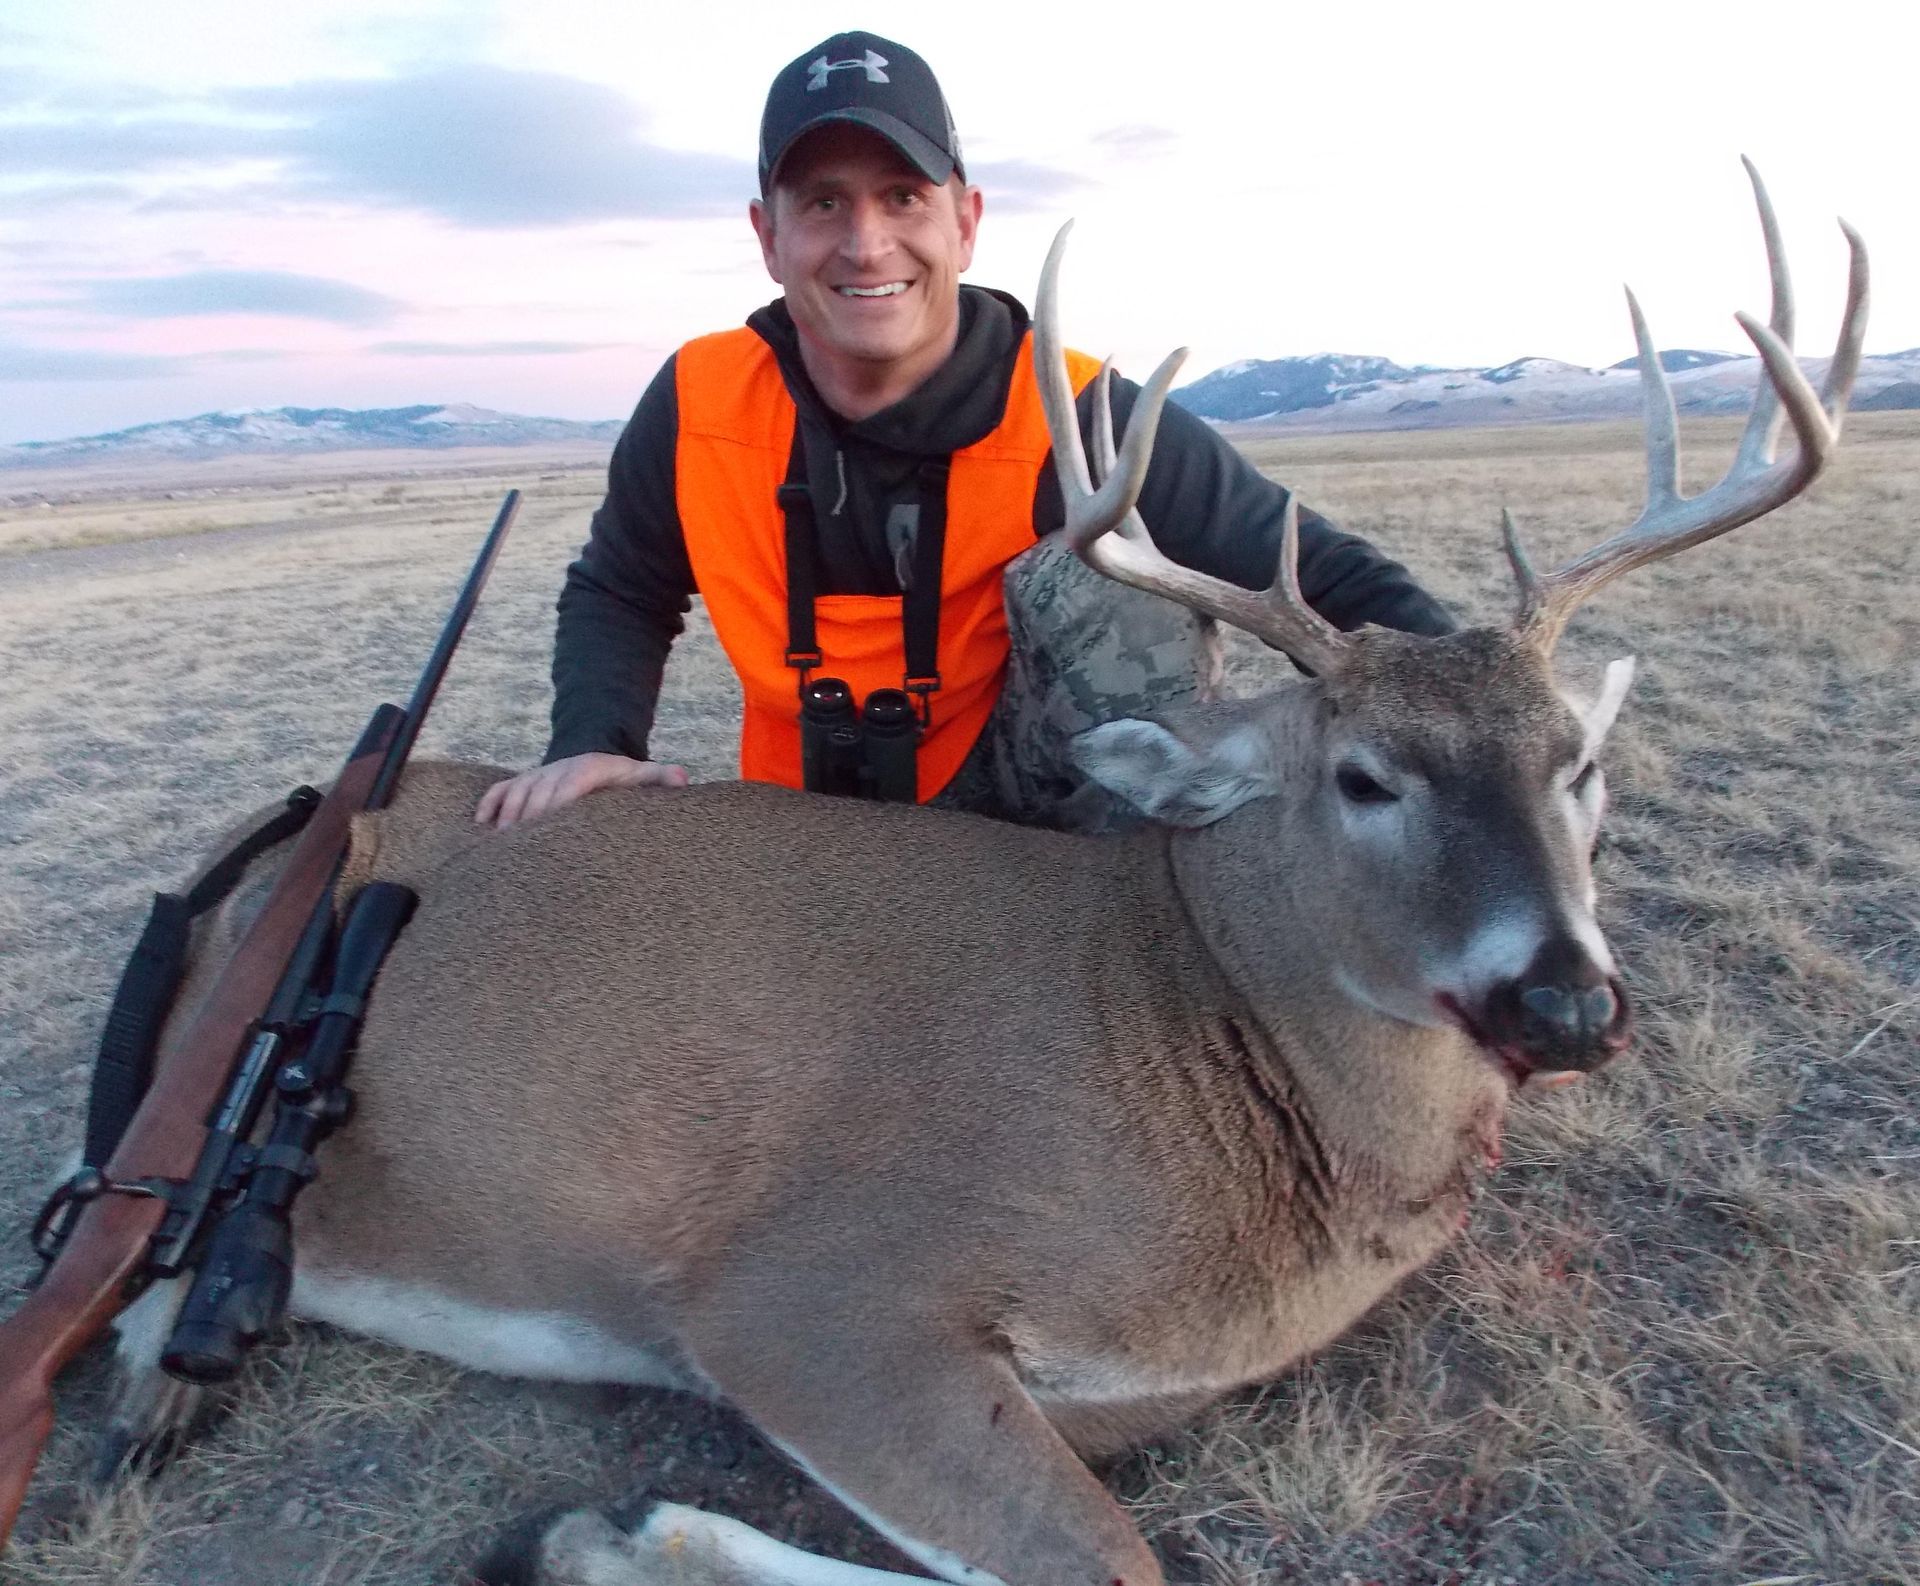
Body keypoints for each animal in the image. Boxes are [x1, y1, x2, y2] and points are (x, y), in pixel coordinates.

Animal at [92, 163, 1865, 1586]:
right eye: (1363, 776)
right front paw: (598, 1532)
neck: (1195, 1029)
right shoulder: (810, 1286)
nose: (1566, 1001)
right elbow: (1109, 1565)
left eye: (1581, 764)